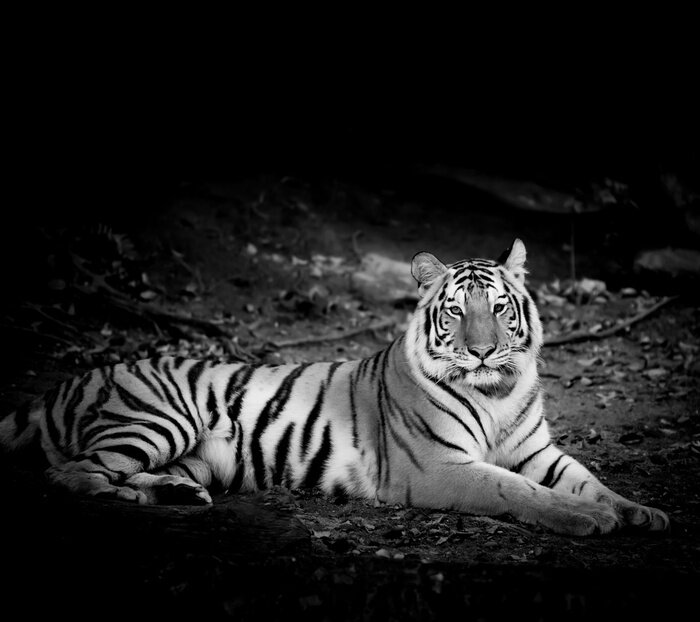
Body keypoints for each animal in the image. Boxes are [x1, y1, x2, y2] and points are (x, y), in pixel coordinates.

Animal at [0, 239, 669, 536]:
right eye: (456, 311)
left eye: (500, 308)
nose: (481, 350)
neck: (498, 392)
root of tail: (71, 380)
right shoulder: (439, 466)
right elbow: (517, 491)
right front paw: (587, 519)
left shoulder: (538, 451)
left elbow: (591, 480)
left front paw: (641, 511)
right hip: (159, 419)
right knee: (69, 474)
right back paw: (140, 497)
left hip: (189, 450)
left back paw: (178, 493)